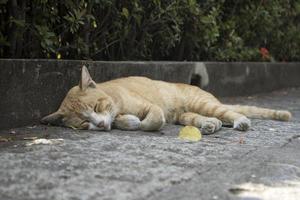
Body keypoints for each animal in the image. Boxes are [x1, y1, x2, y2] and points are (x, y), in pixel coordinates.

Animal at [41, 66, 292, 134]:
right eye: (84, 122)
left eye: (96, 106)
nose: (101, 125)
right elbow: (122, 121)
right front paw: (125, 121)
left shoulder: (151, 108)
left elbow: (151, 121)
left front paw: (137, 122)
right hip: (186, 116)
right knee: (207, 119)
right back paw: (210, 125)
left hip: (204, 104)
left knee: (231, 113)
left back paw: (240, 122)